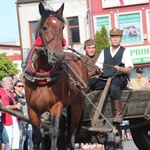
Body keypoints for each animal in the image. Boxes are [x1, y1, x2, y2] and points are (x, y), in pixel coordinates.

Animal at [24, 2, 88, 150]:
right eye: (45, 27)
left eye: (62, 27)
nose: (58, 56)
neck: (42, 74)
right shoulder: (32, 109)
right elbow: (37, 136)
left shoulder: (56, 106)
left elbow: (54, 132)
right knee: (63, 125)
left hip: (77, 103)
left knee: (71, 130)